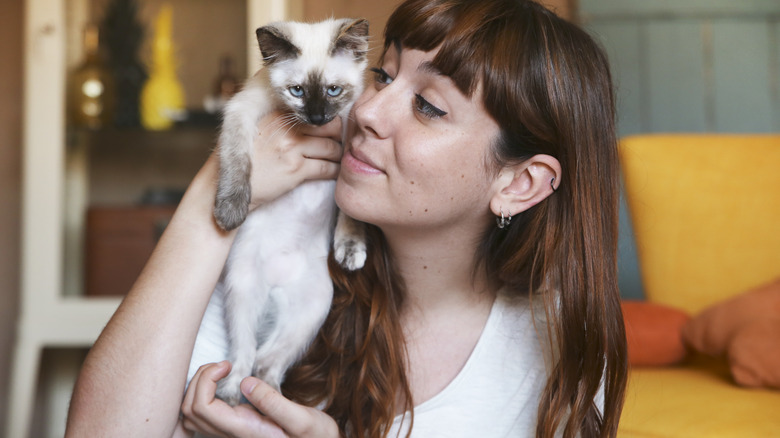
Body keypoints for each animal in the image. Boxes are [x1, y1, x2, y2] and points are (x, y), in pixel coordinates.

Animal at [190, 18, 370, 406]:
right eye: (297, 91)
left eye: (333, 90)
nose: (317, 117)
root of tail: (276, 286)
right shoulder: (241, 111)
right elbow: (238, 162)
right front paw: (230, 211)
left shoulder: (352, 144)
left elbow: (352, 210)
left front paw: (350, 249)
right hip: (242, 292)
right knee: (246, 355)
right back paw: (234, 393)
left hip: (314, 306)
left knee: (267, 361)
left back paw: (271, 398)